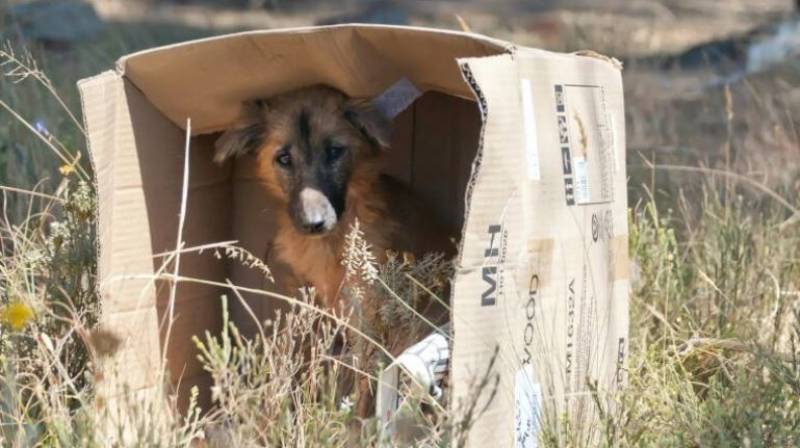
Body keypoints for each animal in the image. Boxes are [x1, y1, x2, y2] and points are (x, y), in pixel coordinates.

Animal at [216, 86, 454, 416]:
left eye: (334, 151)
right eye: (284, 158)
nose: (314, 223)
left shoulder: (365, 313)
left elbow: (364, 380)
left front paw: (356, 420)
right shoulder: (309, 302)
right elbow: (307, 360)